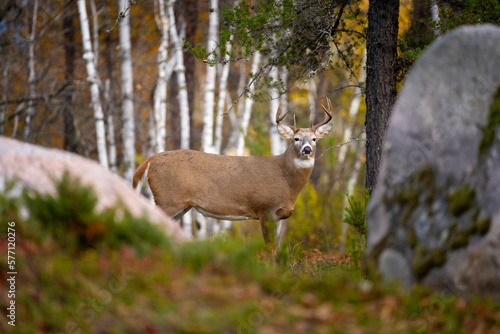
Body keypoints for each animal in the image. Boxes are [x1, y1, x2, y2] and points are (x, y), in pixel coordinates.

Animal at [135, 98, 334, 244]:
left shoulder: (278, 216)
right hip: (167, 199)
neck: (285, 179)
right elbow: (270, 248)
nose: (307, 149)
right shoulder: (264, 209)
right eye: (296, 139)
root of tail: (150, 160)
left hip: (179, 206)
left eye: (314, 139)